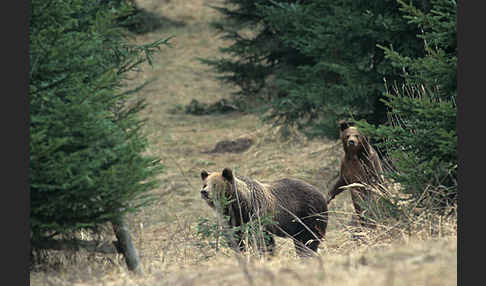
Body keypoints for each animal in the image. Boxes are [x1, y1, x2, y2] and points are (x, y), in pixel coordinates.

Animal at [199, 168, 328, 256]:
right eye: (205, 184)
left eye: (215, 184)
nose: (204, 192)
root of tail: (321, 194)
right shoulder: (234, 221)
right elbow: (238, 240)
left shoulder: (257, 214)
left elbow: (263, 240)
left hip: (309, 216)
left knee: (308, 239)